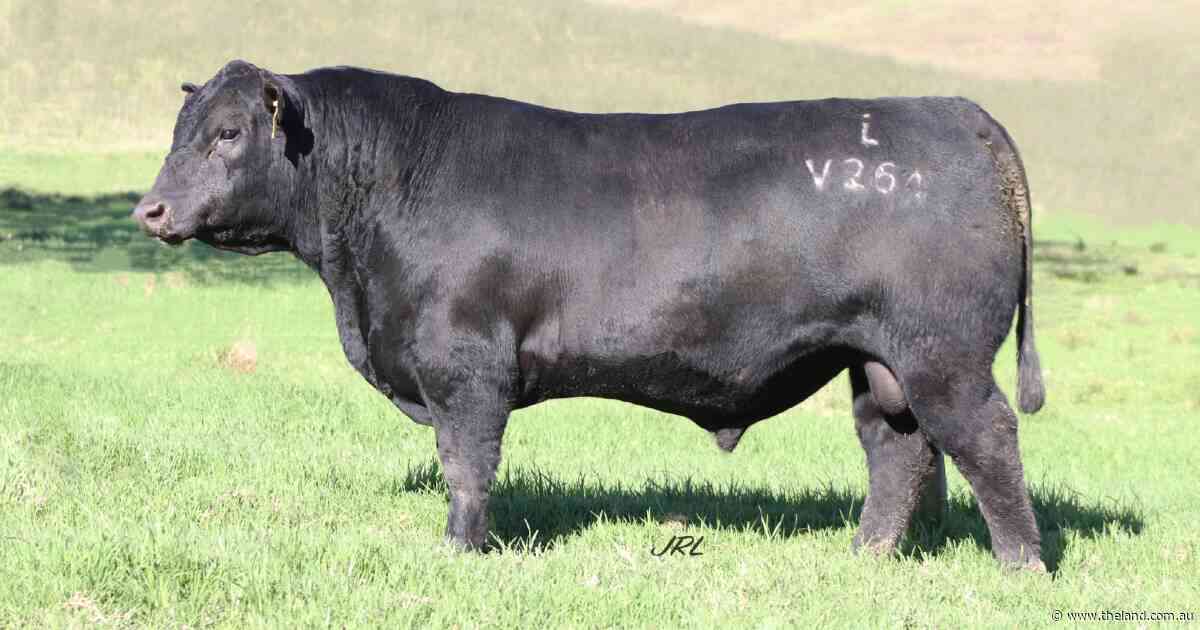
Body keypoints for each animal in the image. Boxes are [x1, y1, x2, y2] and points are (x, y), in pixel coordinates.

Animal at [133, 60, 1047, 570]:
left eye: (227, 133)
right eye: (183, 127)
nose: (150, 209)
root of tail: (953, 110)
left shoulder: (465, 364)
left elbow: (467, 465)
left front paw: (460, 553)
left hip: (945, 357)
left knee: (986, 440)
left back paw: (1021, 567)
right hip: (878, 360)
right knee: (897, 450)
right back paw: (866, 559)